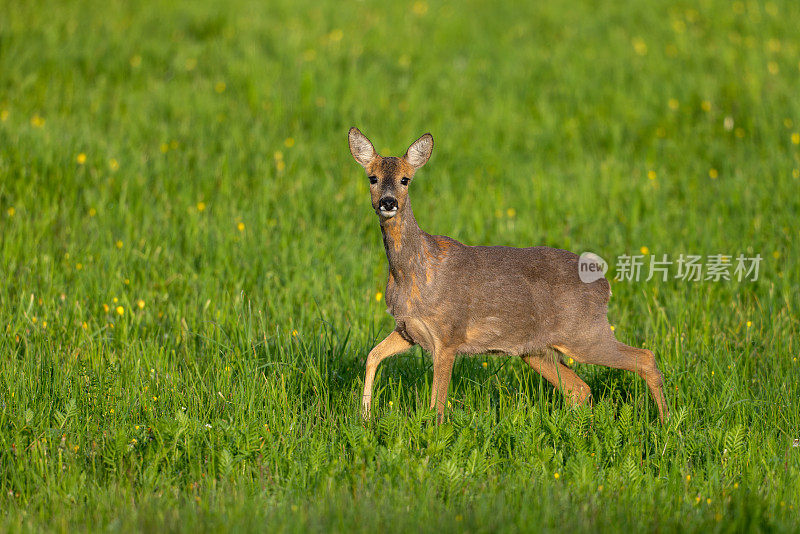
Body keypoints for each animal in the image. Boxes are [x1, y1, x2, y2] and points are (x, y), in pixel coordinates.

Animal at [350, 127, 668, 426]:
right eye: (372, 178)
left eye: (406, 179)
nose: (388, 202)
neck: (414, 274)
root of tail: (605, 284)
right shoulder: (407, 330)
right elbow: (372, 355)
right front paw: (364, 417)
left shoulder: (449, 335)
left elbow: (437, 404)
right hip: (537, 350)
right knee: (579, 389)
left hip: (586, 333)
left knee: (645, 358)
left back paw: (666, 424)